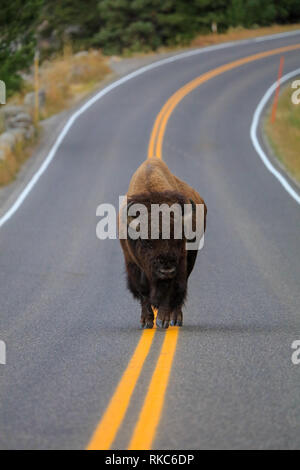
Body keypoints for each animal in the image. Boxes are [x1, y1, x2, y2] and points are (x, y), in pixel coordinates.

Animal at [119, 156, 206, 328]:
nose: (166, 269)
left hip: (190, 259)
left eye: (179, 239)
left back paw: (175, 319)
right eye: (146, 241)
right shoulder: (132, 264)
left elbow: (171, 290)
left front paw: (163, 320)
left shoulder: (179, 264)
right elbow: (143, 290)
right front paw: (146, 321)